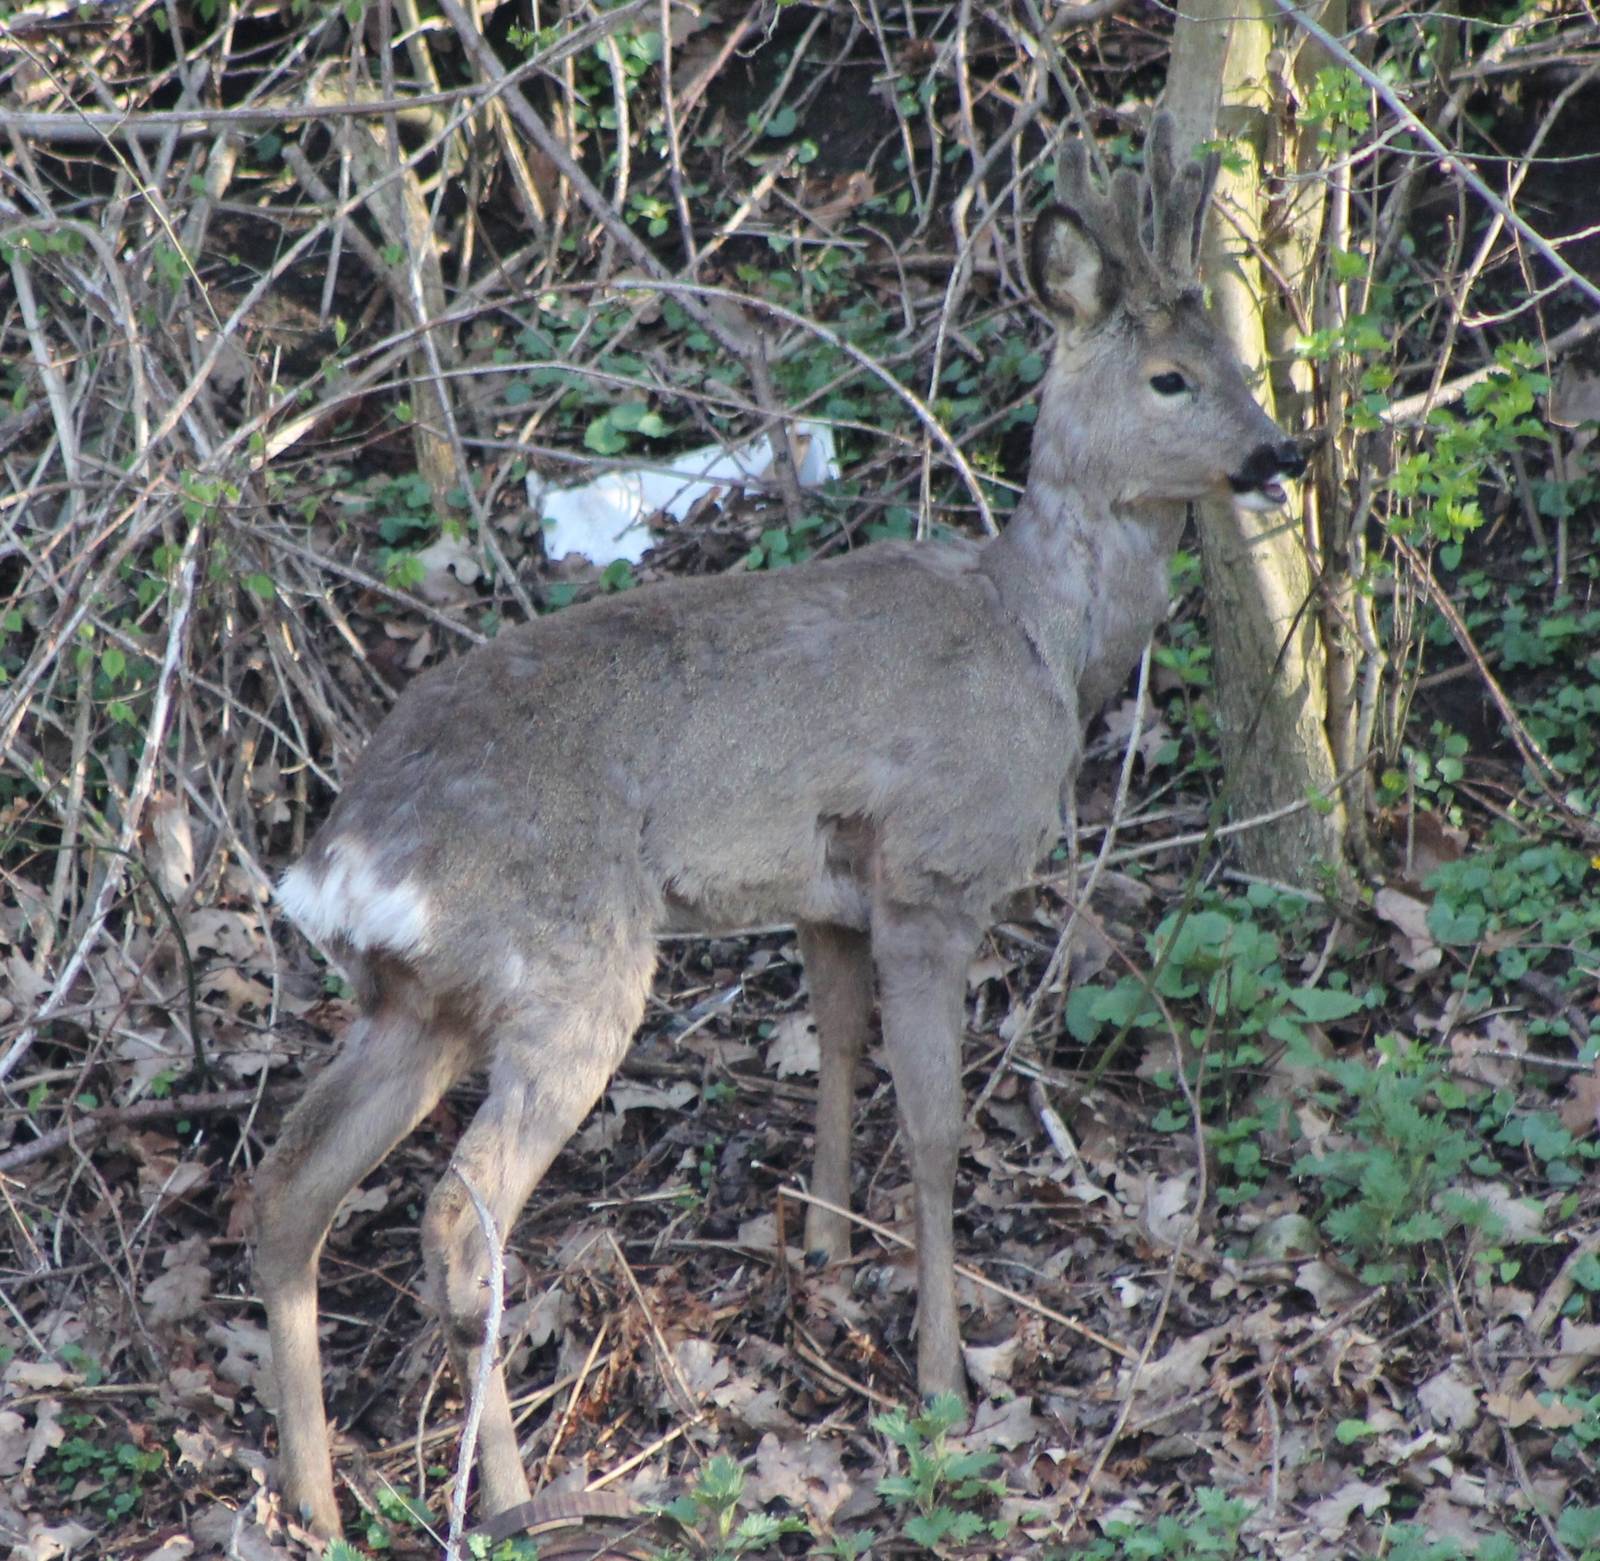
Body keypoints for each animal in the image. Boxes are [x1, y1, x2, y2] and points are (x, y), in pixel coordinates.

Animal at [255, 113, 1305, 1538]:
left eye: (1238, 363)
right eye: (1167, 379)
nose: (1280, 453)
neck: (1040, 639)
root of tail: (346, 862)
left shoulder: (827, 896)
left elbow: (841, 1054)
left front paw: (822, 1247)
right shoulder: (933, 870)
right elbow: (936, 1124)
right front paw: (939, 1378)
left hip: (418, 1000)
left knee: (290, 1187)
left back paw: (317, 1502)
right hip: (570, 967)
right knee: (459, 1215)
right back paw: (520, 1498)